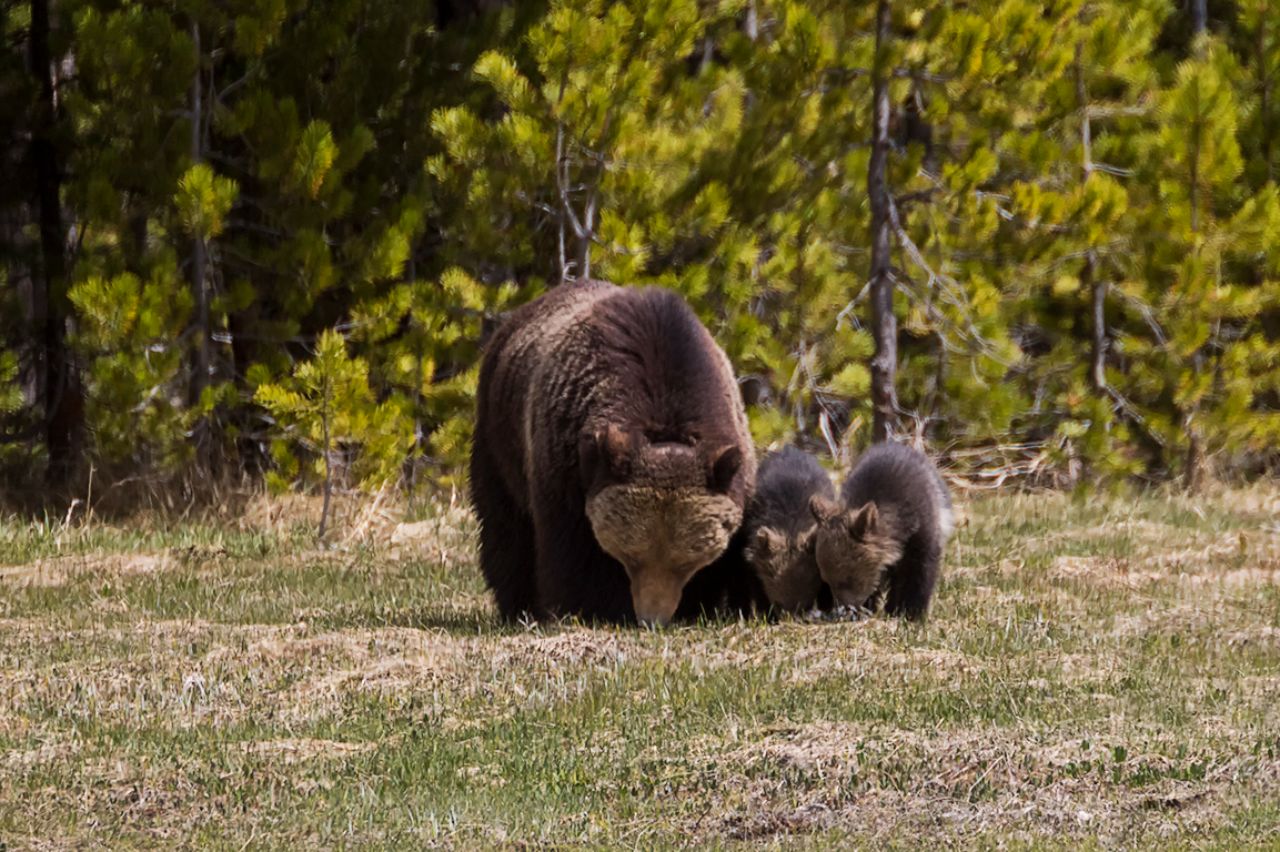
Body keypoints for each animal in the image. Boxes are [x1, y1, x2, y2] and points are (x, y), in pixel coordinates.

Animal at [470, 280, 757, 626]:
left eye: (686, 562)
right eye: (631, 555)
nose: (652, 618)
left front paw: (694, 606)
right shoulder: (566, 463)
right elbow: (571, 550)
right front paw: (585, 606)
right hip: (498, 437)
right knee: (506, 526)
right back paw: (517, 605)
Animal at [809, 442, 952, 620]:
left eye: (848, 578)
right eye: (827, 580)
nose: (846, 608)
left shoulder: (922, 530)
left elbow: (919, 570)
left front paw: (910, 611)